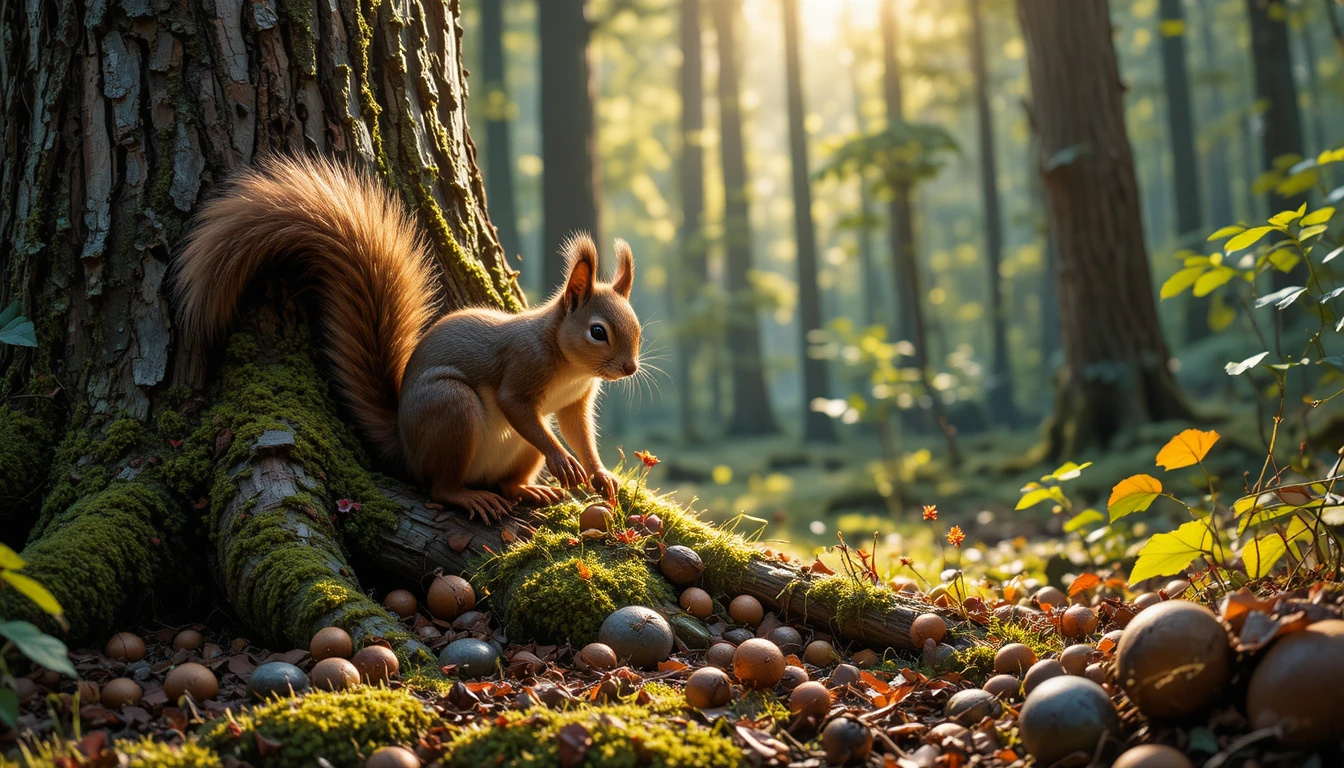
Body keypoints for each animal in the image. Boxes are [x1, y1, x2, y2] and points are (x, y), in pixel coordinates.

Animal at [173, 156, 642, 522]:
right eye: (598, 332)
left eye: (636, 328)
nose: (630, 367)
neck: (569, 364)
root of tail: (405, 445)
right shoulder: (523, 367)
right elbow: (517, 407)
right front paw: (563, 460)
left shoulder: (573, 402)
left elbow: (578, 431)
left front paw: (599, 474)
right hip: (451, 408)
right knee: (441, 487)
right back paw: (470, 496)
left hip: (514, 451)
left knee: (507, 480)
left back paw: (527, 489)